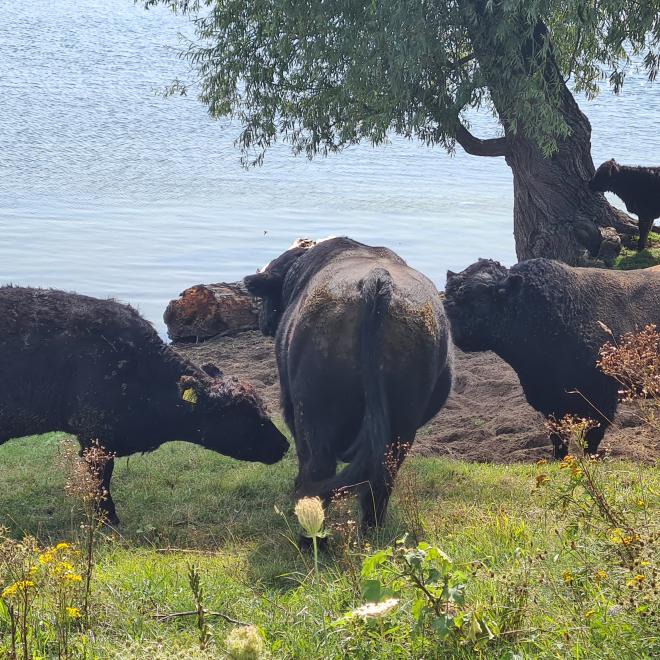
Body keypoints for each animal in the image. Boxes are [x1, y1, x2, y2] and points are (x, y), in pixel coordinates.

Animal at [244, 237, 453, 528]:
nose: (262, 322)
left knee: (316, 474)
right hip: (401, 427)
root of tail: (378, 279)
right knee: (380, 482)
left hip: (314, 416)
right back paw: (371, 528)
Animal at [443, 258, 660, 457]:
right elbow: (558, 439)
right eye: (448, 295)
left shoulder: (602, 400)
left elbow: (591, 440)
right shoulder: (550, 402)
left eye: (476, 298)